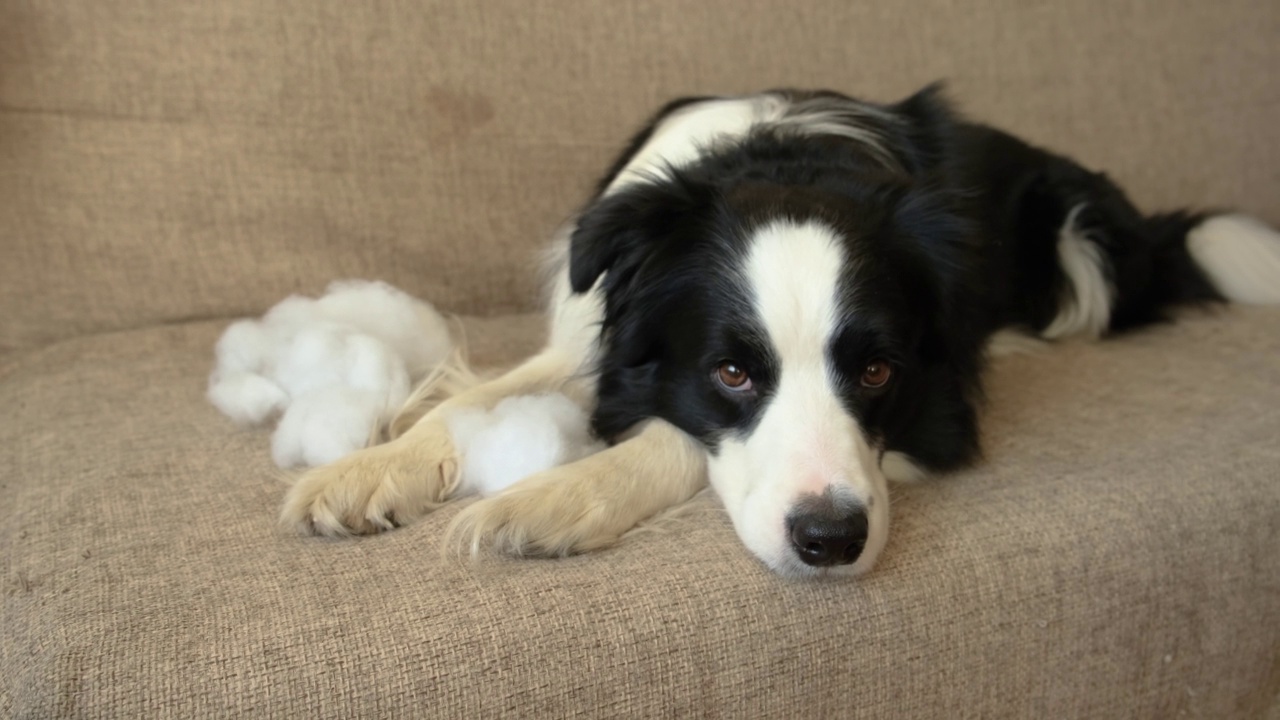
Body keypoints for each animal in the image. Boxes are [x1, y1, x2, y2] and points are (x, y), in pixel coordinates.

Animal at [280, 83, 1280, 576]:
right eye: (731, 372)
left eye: (877, 372)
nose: (830, 544)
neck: (788, 161)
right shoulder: (593, 333)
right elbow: (474, 400)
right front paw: (363, 471)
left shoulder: (940, 404)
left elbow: (669, 438)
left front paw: (545, 501)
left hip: (1082, 249)